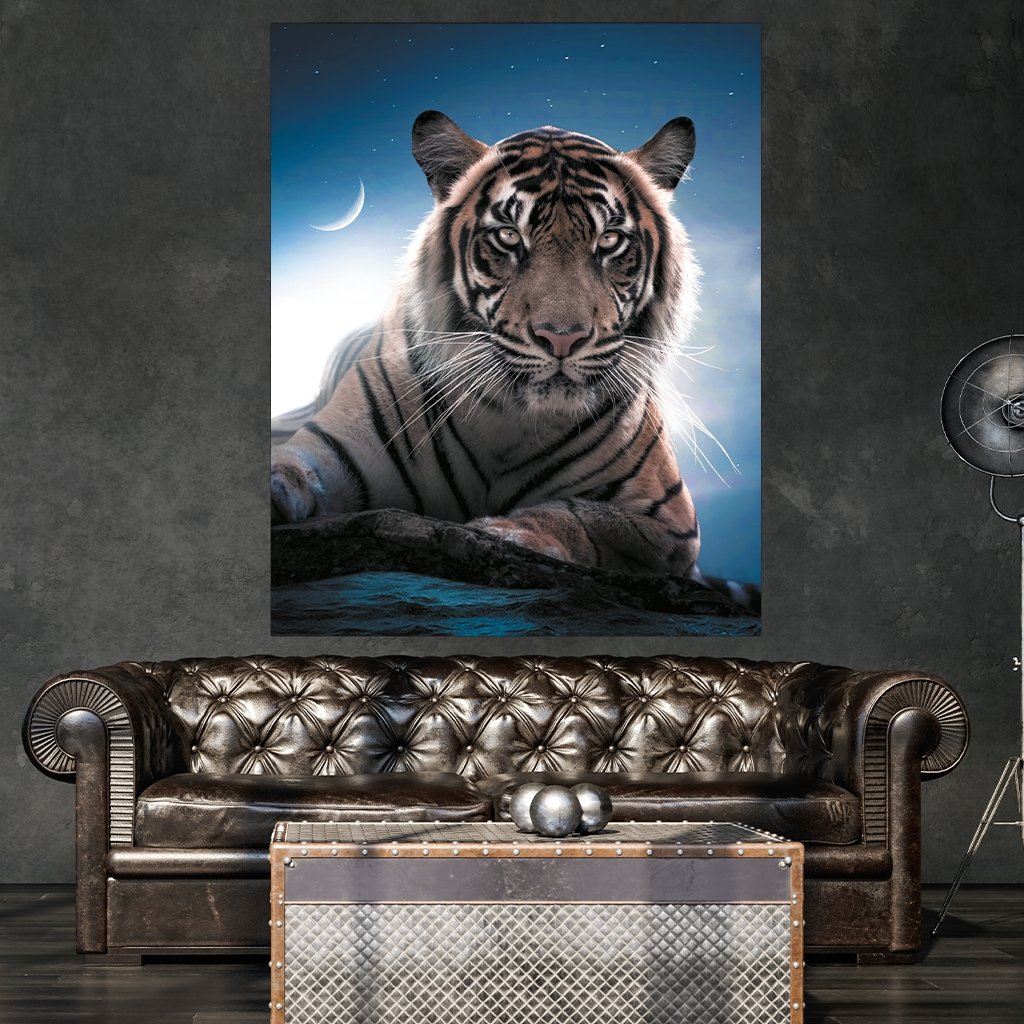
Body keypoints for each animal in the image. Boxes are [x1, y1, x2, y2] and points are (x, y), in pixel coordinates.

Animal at [271, 110, 709, 580]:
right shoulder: (331, 449)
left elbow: (580, 518)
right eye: (509, 237)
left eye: (608, 240)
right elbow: (287, 466)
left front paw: (503, 532)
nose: (562, 336)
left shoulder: (668, 522)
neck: (509, 420)